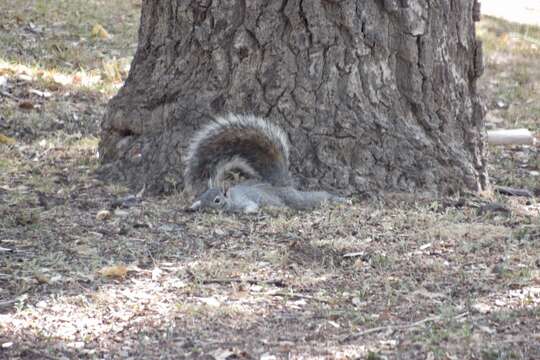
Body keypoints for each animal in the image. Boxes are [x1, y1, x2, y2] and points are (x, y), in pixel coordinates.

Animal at [185, 114, 346, 212]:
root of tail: (280, 185)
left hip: (294, 198)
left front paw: (249, 211)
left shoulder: (243, 200)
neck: (231, 198)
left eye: (217, 200)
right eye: (203, 195)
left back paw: (338, 199)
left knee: (313, 198)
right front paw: (194, 205)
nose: (205, 207)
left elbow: (250, 206)